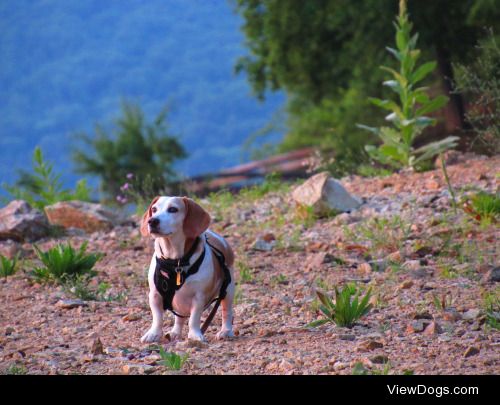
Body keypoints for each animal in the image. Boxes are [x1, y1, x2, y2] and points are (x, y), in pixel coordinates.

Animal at [140, 196, 235, 340]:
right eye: (154, 209)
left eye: (173, 209)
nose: (152, 221)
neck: (175, 262)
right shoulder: (155, 295)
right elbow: (157, 318)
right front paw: (154, 333)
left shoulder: (198, 297)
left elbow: (194, 319)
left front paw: (195, 335)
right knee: (179, 318)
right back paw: (175, 332)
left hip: (227, 291)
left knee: (227, 312)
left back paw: (226, 331)